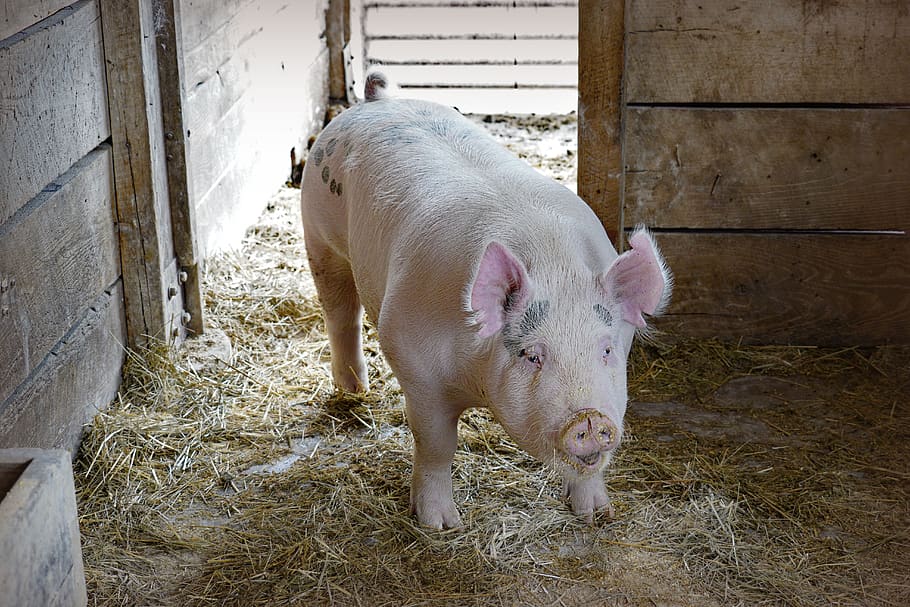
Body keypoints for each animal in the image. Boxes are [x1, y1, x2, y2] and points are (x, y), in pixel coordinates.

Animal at [300, 71, 671, 529]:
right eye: (532, 355)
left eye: (605, 349)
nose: (589, 418)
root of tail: (378, 100)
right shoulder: (414, 363)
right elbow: (436, 444)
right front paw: (440, 526)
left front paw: (597, 514)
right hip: (318, 232)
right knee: (340, 312)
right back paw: (353, 389)